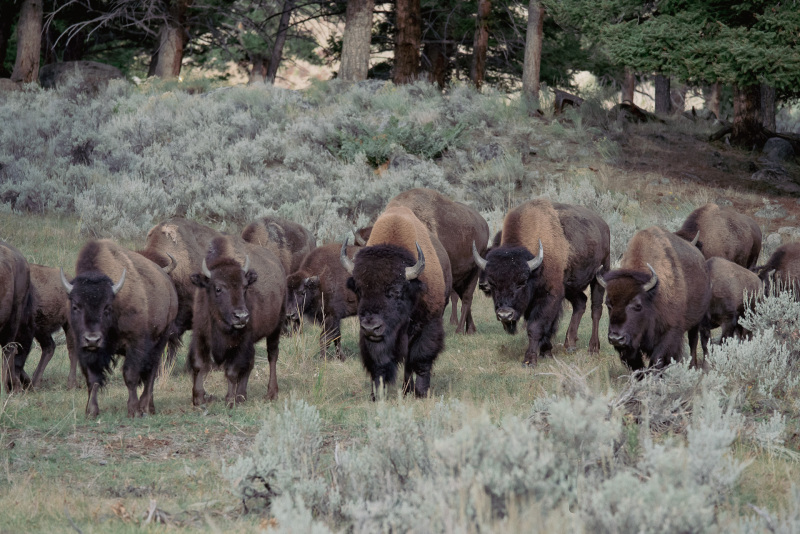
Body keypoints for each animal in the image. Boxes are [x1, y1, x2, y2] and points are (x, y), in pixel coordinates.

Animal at [61, 239, 178, 417]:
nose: (92, 339)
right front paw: (91, 411)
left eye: (107, 307)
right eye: (75, 306)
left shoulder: (135, 344)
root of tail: (168, 284)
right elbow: (92, 379)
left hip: (161, 339)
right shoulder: (85, 350)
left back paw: (145, 407)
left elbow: (130, 376)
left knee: (151, 372)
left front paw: (133, 410)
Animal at [188, 236, 286, 407]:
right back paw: (242, 396)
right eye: (218, 288)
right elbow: (199, 365)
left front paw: (229, 400)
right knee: (251, 362)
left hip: (275, 328)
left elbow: (232, 371)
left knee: (272, 355)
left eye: (245, 287)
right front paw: (198, 399)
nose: (241, 316)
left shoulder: (241, 343)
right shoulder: (200, 335)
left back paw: (271, 393)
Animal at [341, 206, 448, 398]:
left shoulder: (429, 324)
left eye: (396, 291)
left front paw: (421, 392)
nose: (371, 327)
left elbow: (421, 359)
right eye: (359, 290)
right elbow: (378, 364)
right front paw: (378, 395)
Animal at [473, 200, 610, 366]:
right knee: (581, 303)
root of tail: (603, 224)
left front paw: (530, 360)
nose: (505, 315)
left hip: (600, 274)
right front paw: (546, 352)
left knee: (596, 310)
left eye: (521, 282)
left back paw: (593, 349)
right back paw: (570, 345)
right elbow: (545, 326)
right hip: (571, 286)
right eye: (493, 283)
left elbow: (536, 326)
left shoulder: (550, 296)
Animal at [598, 226, 711, 371]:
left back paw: (693, 366)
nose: (616, 338)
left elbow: (658, 359)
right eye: (608, 304)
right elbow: (636, 364)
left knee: (693, 342)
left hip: (696, 322)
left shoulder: (669, 333)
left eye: (638, 305)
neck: (653, 296)